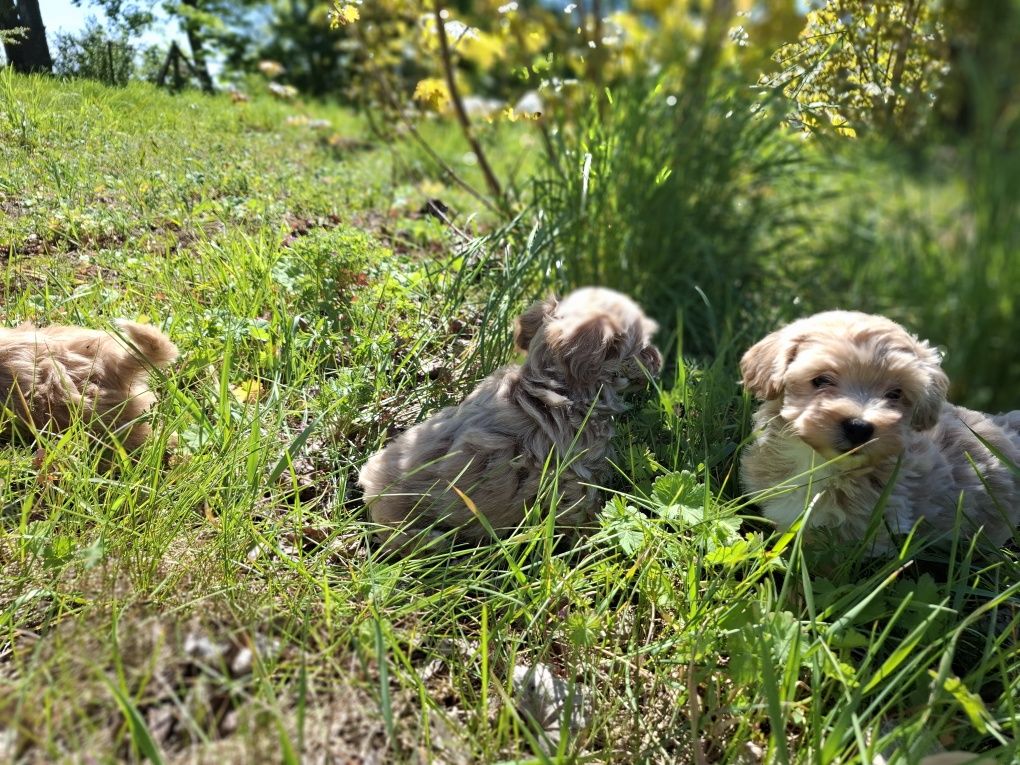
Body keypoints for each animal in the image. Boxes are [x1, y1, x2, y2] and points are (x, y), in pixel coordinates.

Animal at [357, 287, 660, 550]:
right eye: (641, 345)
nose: (658, 360)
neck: (553, 384)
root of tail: (369, 490)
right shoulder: (577, 478)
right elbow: (583, 516)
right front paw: (595, 543)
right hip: (420, 533)